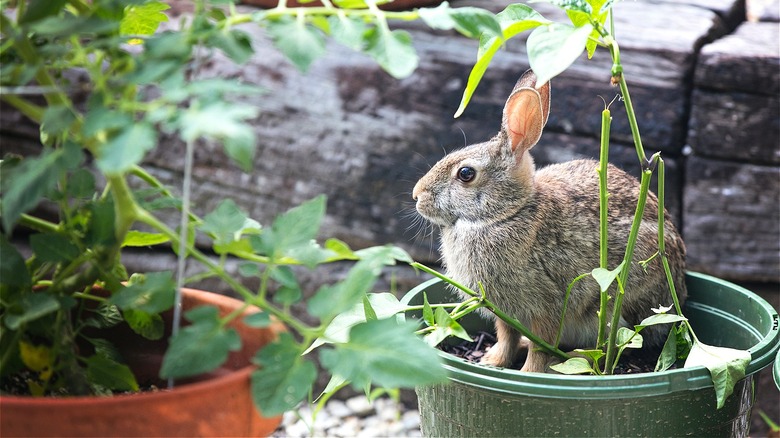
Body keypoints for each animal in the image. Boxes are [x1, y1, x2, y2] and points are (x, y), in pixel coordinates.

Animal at [412, 69, 684, 372]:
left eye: (466, 174)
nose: (416, 196)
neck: (507, 212)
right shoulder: (505, 311)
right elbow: (506, 336)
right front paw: (493, 362)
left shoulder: (547, 304)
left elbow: (540, 345)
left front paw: (528, 372)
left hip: (619, 302)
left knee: (616, 345)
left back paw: (571, 361)